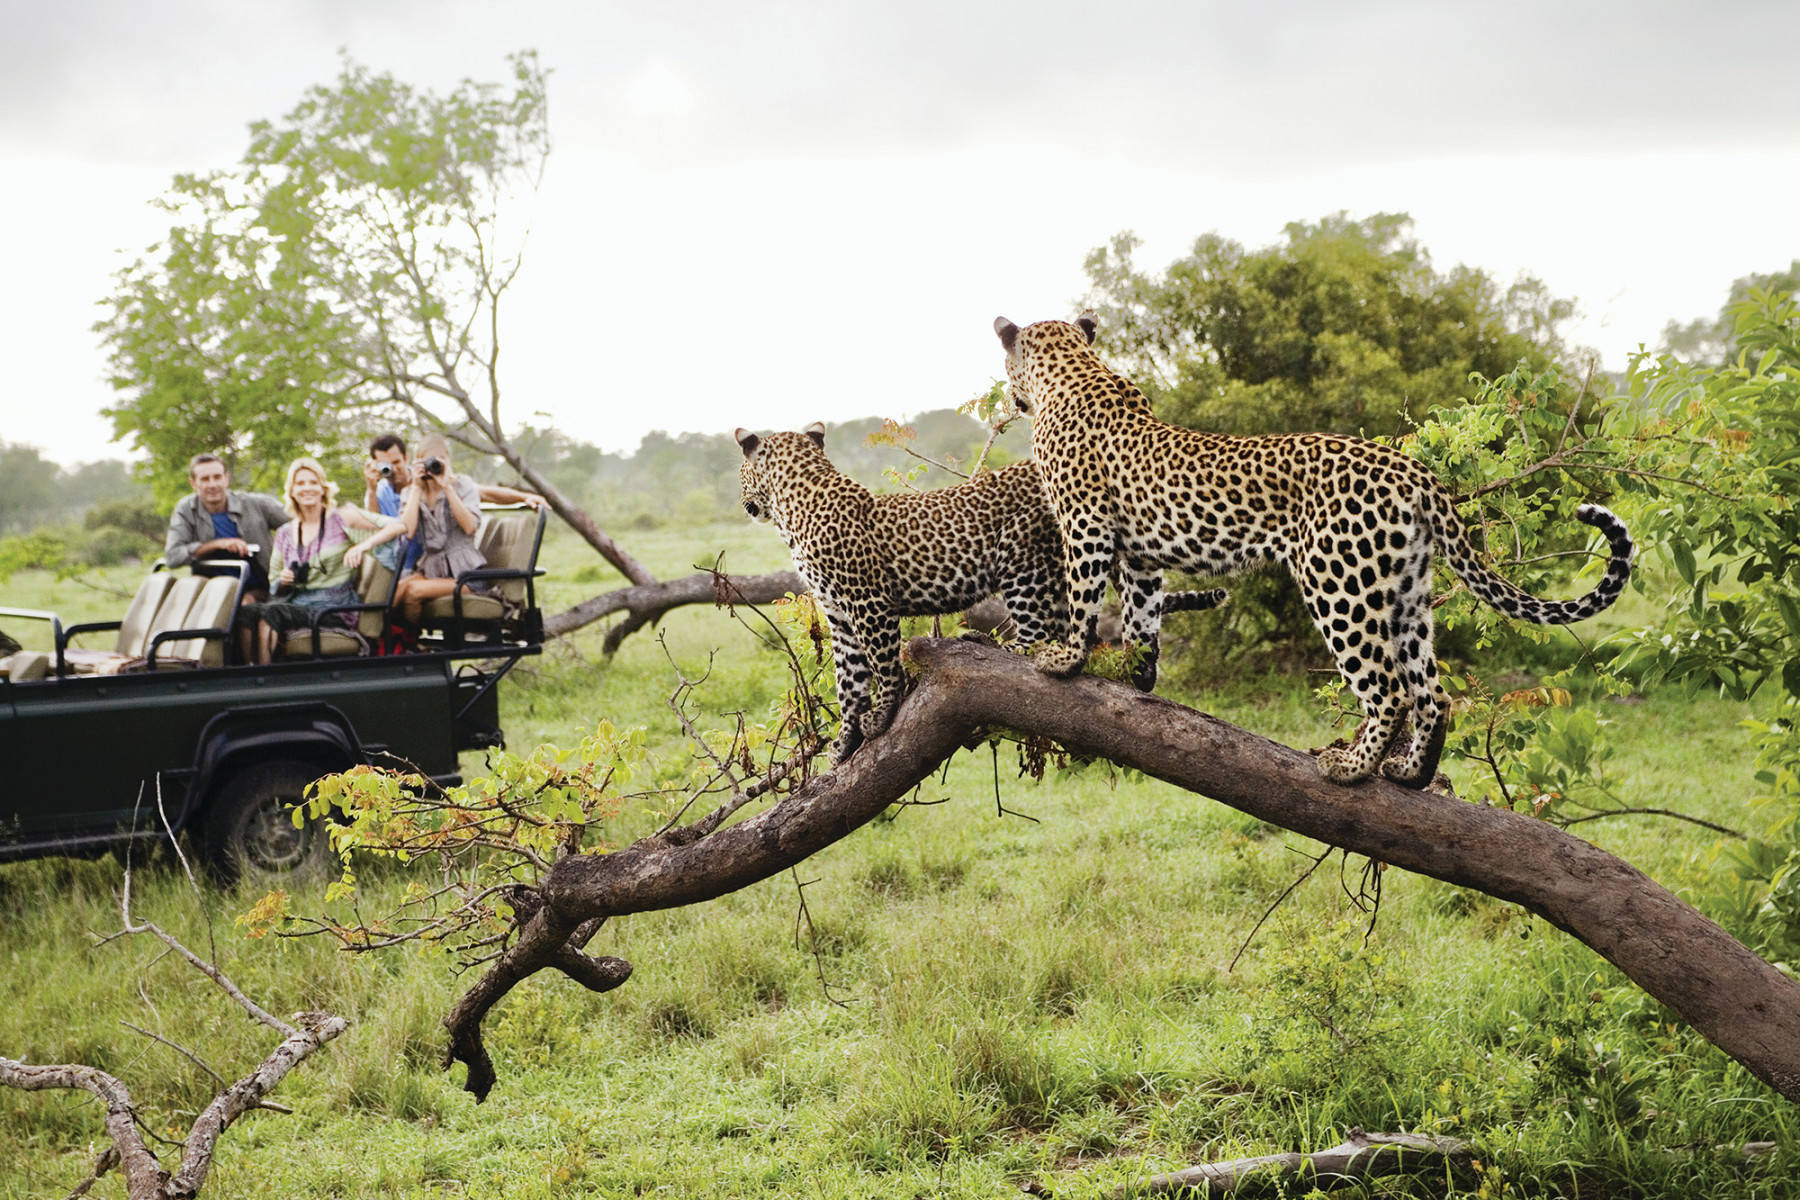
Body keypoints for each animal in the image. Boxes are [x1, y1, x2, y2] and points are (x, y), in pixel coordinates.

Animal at [734, 424, 1224, 759]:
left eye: (740, 473)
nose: (744, 504)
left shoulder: (868, 602)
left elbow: (884, 665)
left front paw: (882, 714)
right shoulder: (838, 613)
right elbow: (849, 681)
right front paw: (844, 740)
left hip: (1023, 560)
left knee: (1039, 635)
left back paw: (994, 644)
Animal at [993, 314, 1641, 791]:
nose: (1011, 398)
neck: (1074, 370)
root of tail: (1414, 471)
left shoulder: (1085, 525)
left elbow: (1084, 598)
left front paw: (1064, 660)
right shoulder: (1142, 555)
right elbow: (1142, 616)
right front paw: (1137, 674)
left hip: (1339, 584)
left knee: (1390, 690)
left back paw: (1351, 769)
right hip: (1406, 593)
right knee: (1433, 693)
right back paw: (1409, 773)